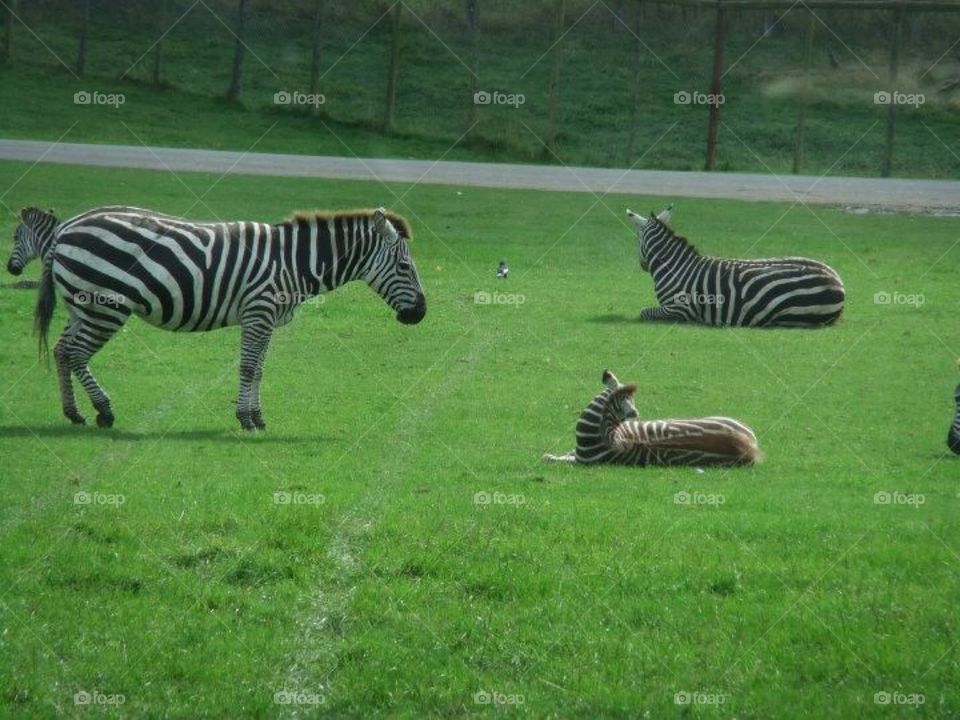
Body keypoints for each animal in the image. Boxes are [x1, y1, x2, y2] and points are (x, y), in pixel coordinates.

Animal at [34, 206, 426, 430]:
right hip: (106, 306)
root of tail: (64, 230)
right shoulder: (258, 313)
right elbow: (249, 368)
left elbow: (260, 369)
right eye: (405, 267)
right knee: (76, 354)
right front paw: (245, 419)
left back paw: (73, 413)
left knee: (61, 350)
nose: (421, 313)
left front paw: (258, 417)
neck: (294, 262)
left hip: (82, 306)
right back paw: (103, 412)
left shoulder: (266, 320)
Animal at [627, 206, 845, 328]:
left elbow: (645, 312)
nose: (642, 265)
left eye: (637, 240)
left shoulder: (680, 308)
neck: (676, 266)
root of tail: (837, 279)